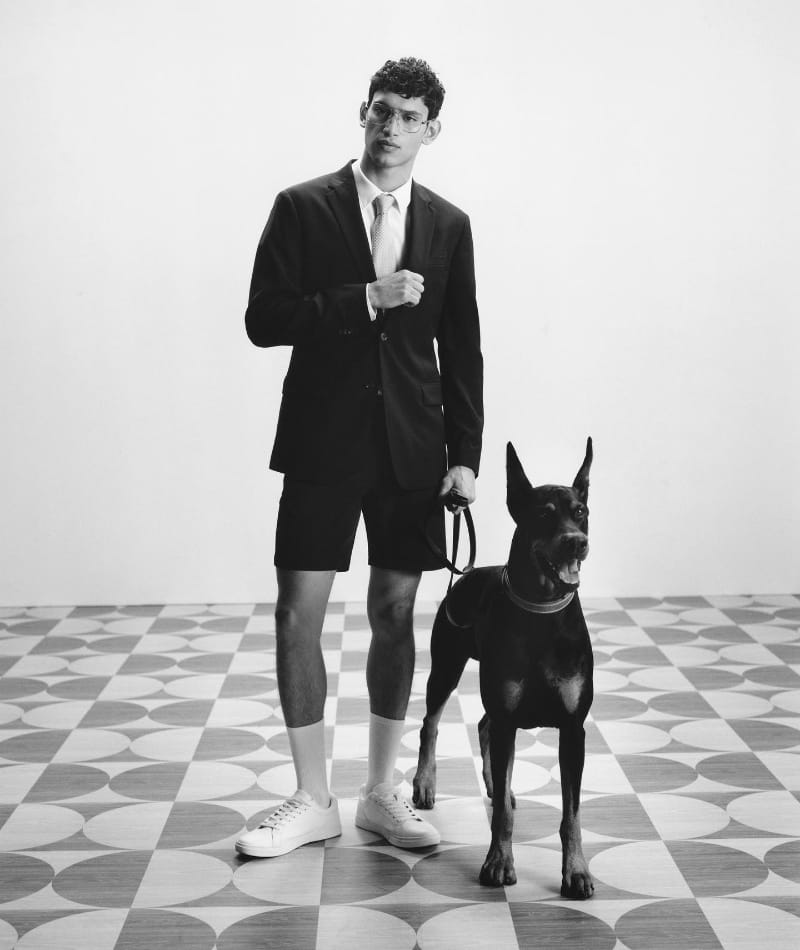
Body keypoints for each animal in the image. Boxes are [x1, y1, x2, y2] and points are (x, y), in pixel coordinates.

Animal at [413, 438, 594, 898]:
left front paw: (576, 870)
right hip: (446, 665)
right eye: (543, 514)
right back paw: (426, 783)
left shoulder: (573, 729)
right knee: (432, 722)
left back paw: (499, 786)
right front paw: (498, 862)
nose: (577, 543)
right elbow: (502, 820)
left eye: (580, 511)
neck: (543, 613)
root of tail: (468, 572)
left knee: (484, 726)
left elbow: (572, 814)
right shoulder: (510, 715)